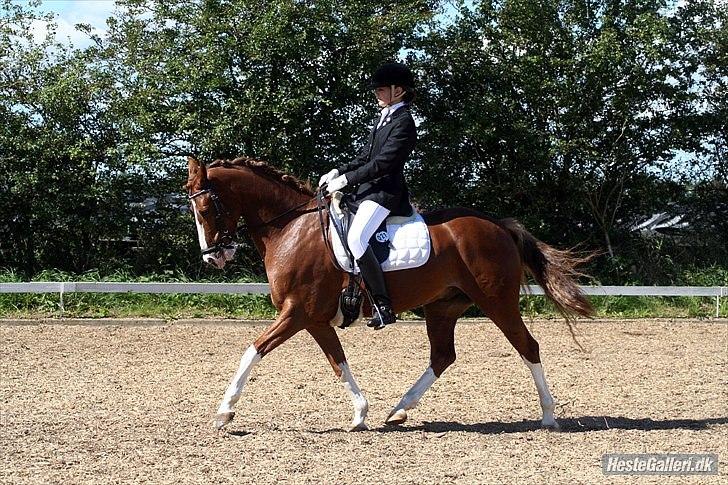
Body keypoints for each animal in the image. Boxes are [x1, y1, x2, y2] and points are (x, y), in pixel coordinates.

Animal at [188, 157, 592, 430]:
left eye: (206, 208)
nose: (213, 257)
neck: (290, 228)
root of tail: (499, 225)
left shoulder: (297, 313)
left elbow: (253, 350)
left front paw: (224, 412)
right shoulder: (314, 319)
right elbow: (338, 362)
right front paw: (360, 414)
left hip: (497, 303)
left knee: (528, 347)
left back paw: (549, 416)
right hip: (442, 308)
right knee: (443, 356)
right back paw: (399, 410)